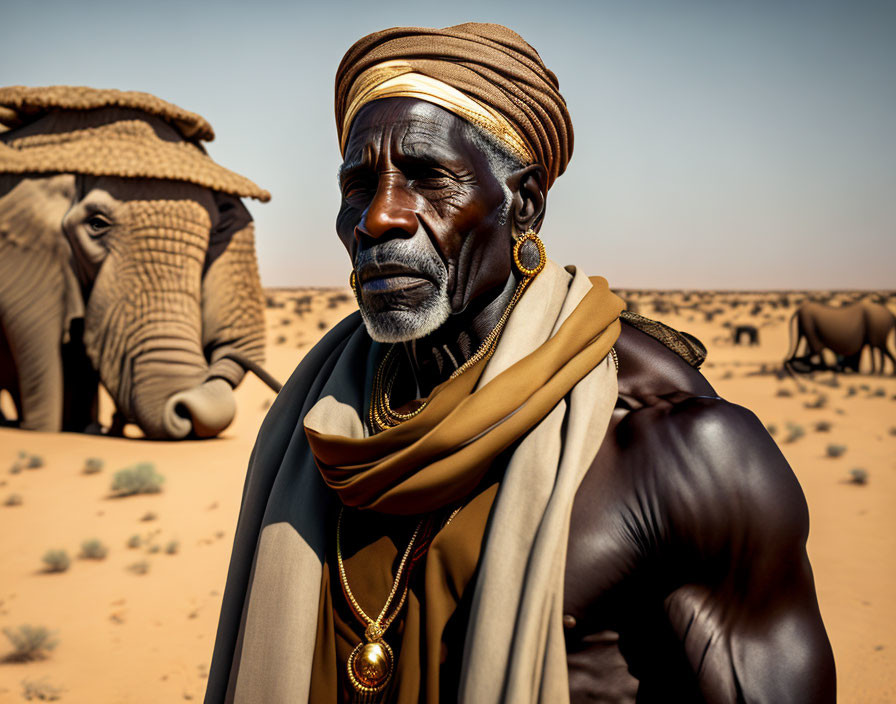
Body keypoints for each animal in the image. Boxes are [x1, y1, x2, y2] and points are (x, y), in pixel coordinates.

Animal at [0, 86, 276, 440]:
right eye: (96, 224)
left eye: (215, 230)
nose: (184, 410)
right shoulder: (24, 257)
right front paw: (43, 432)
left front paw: (84, 428)